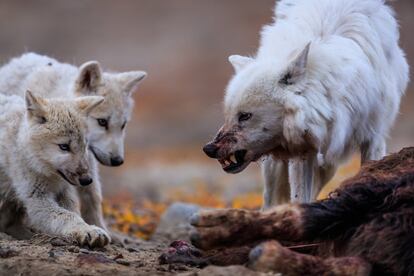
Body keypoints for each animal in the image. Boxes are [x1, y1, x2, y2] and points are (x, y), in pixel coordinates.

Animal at [0, 91, 110, 248]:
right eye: (64, 147)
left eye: (84, 145)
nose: (87, 180)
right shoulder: (37, 198)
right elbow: (67, 216)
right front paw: (87, 230)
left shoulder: (64, 191)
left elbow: (74, 212)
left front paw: (87, 229)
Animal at [202, 0, 410, 208]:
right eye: (228, 115)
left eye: (245, 116)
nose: (208, 149)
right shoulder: (303, 151)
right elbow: (300, 197)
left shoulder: (373, 138)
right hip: (277, 167)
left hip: (327, 166)